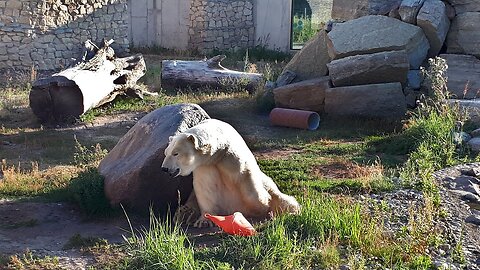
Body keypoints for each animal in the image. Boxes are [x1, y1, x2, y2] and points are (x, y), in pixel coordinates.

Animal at [161, 119, 300, 227]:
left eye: (175, 153)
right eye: (166, 153)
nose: (164, 168)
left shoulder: (232, 157)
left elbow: (248, 179)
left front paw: (263, 204)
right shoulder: (205, 166)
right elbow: (205, 189)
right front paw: (204, 221)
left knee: (284, 200)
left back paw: (291, 212)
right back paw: (185, 214)